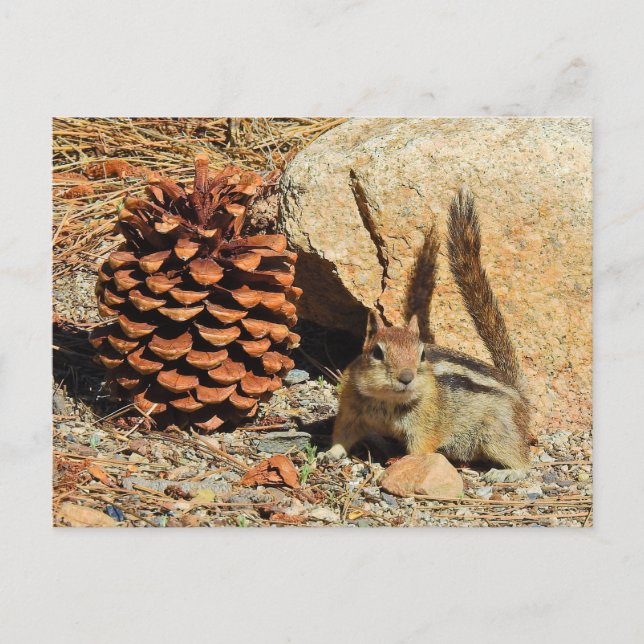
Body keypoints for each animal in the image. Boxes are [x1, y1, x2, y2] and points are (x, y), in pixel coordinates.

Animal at [325, 187, 532, 483]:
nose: (406, 377)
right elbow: (343, 434)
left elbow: (419, 450)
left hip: (498, 433)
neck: (388, 401)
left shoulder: (425, 426)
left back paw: (505, 474)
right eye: (377, 352)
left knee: (523, 460)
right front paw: (330, 453)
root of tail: (517, 390)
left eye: (422, 354)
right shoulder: (350, 409)